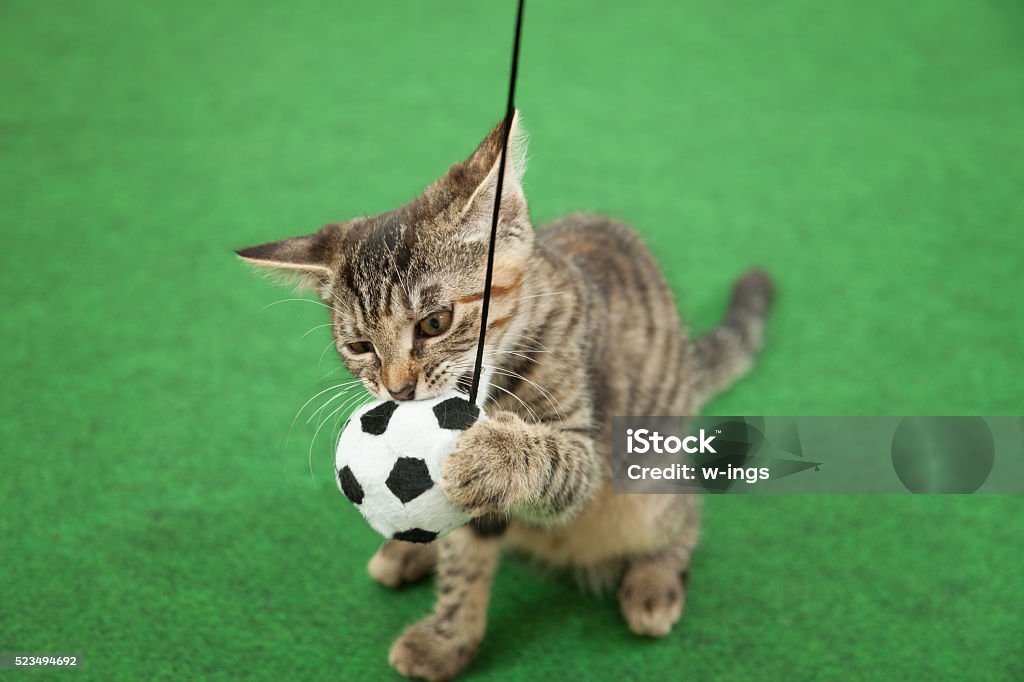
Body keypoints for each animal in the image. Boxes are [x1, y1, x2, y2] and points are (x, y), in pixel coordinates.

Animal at [237, 114, 770, 675]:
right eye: (360, 347)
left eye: (435, 322)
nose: (398, 387)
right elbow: (464, 557)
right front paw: (448, 637)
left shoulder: (589, 450)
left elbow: (554, 463)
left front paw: (493, 454)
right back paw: (411, 550)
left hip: (650, 483)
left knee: (682, 514)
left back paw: (654, 580)